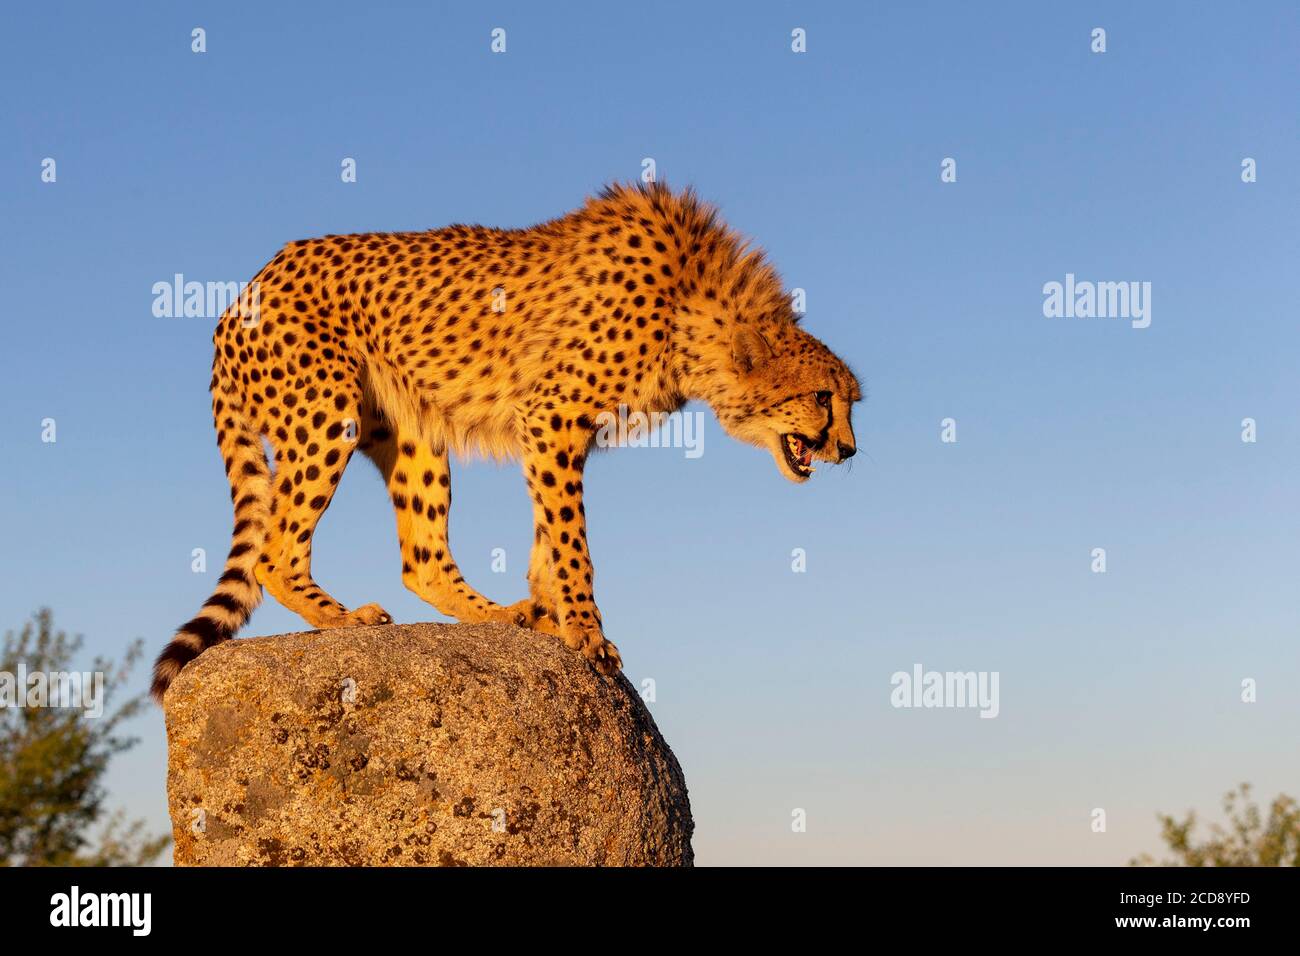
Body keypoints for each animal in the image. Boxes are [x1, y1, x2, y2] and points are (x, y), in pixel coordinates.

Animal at [149, 180, 863, 702]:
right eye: (824, 398)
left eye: (848, 401)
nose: (849, 450)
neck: (689, 308)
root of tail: (240, 294)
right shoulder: (552, 416)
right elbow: (574, 543)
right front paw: (587, 632)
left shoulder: (559, 430)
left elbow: (550, 535)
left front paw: (550, 613)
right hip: (328, 414)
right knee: (274, 552)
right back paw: (343, 619)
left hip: (414, 430)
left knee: (422, 558)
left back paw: (496, 615)